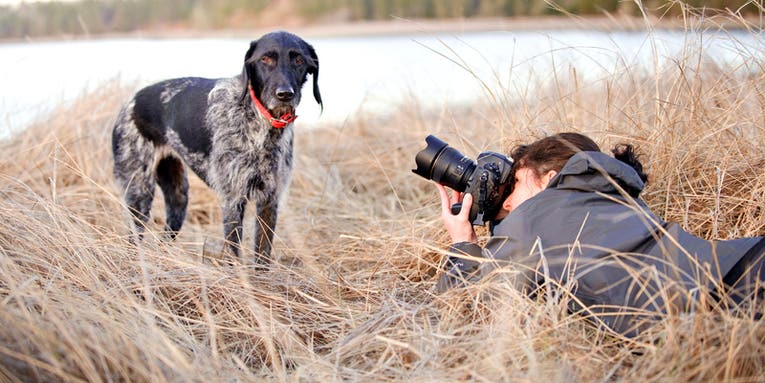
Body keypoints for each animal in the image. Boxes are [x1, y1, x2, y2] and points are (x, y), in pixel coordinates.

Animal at [110, 31, 320, 264]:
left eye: (299, 60)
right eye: (265, 59)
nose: (284, 94)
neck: (260, 123)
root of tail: (130, 103)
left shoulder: (269, 200)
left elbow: (262, 256)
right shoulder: (232, 200)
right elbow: (233, 252)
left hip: (178, 199)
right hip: (139, 194)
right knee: (134, 237)